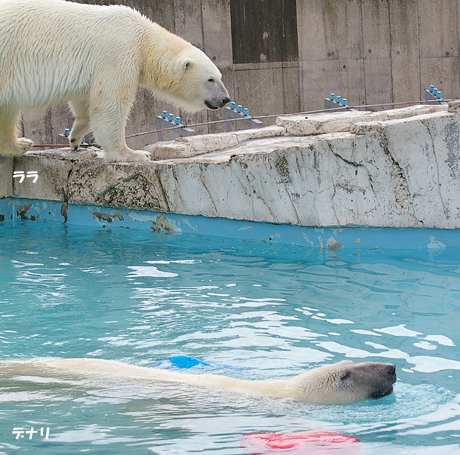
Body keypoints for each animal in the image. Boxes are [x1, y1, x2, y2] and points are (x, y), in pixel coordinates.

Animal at [0, 0, 230, 163]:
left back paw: (18, 144)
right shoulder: (119, 53)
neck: (143, 38)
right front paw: (133, 154)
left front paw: (75, 137)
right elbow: (110, 104)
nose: (226, 99)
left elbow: (86, 99)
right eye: (210, 79)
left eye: (220, 77)